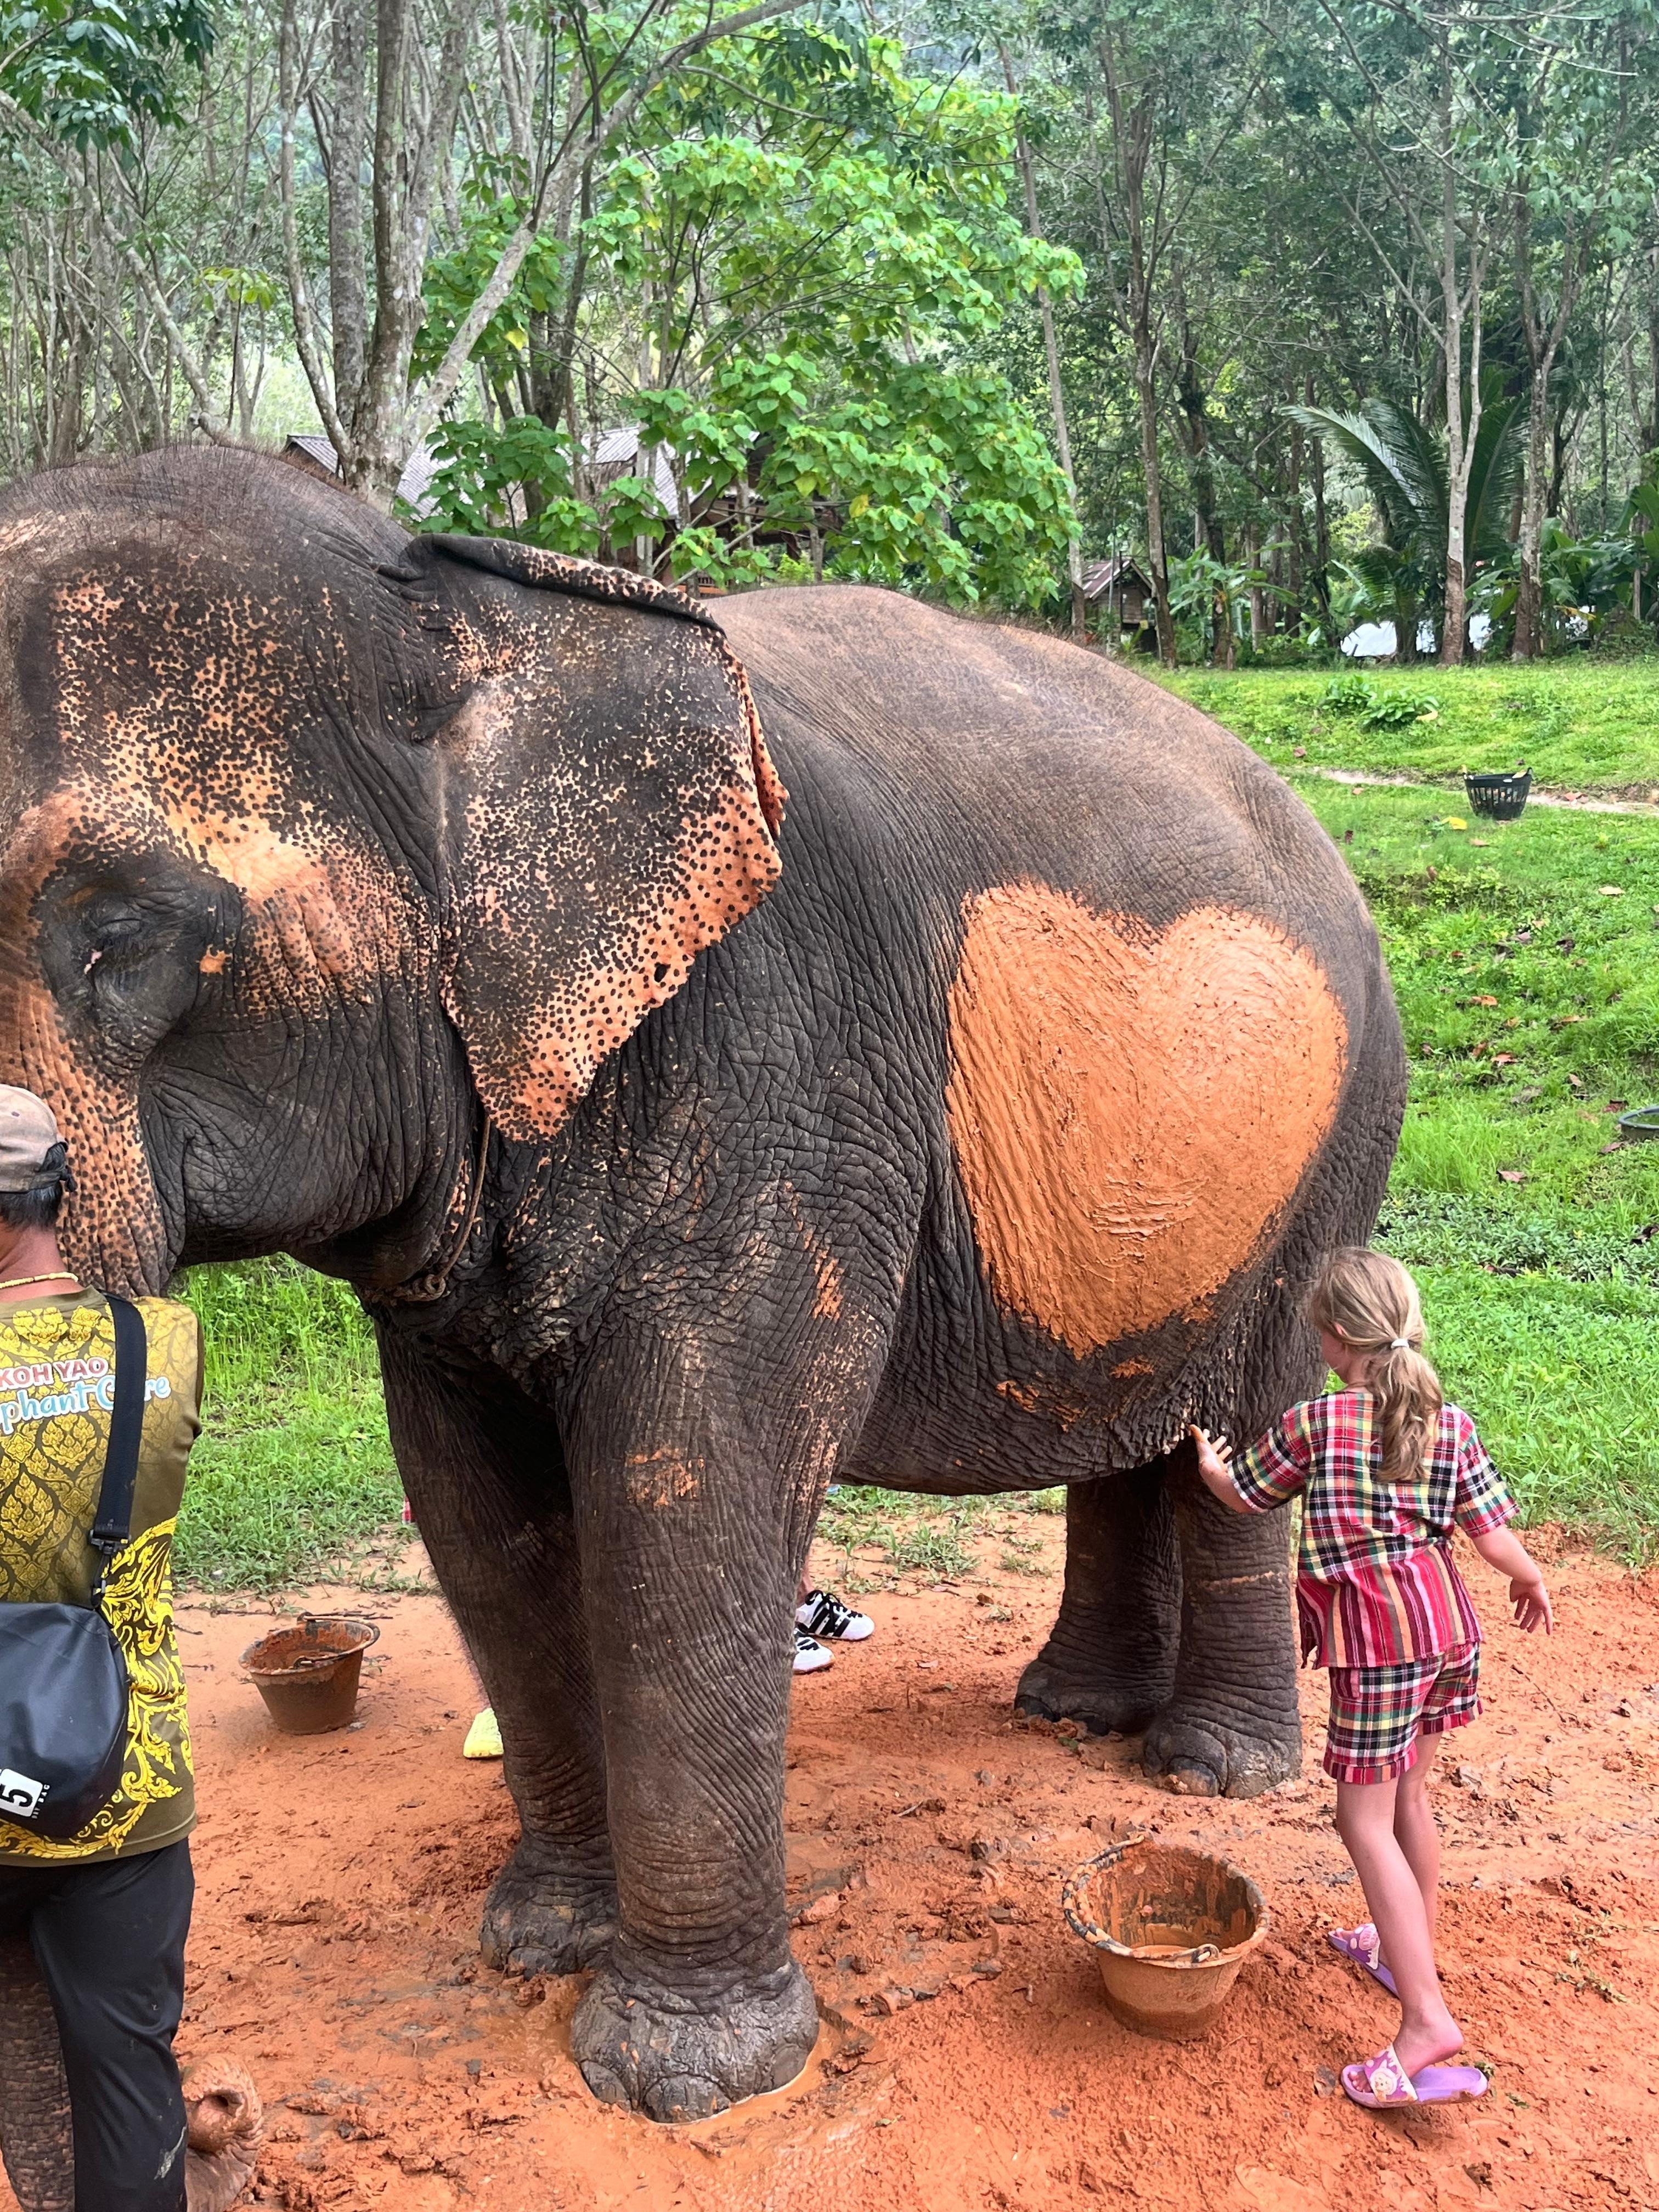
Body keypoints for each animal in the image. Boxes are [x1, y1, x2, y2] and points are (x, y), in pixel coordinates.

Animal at [0, 446, 1405, 2124]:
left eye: (124, 933)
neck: (464, 598)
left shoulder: (777, 1077)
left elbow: (694, 1488)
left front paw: (684, 2082)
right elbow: (475, 1510)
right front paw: (537, 1947)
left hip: (1327, 1157)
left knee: (1243, 1425)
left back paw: (1209, 1773)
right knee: (1135, 1413)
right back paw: (1072, 1717)